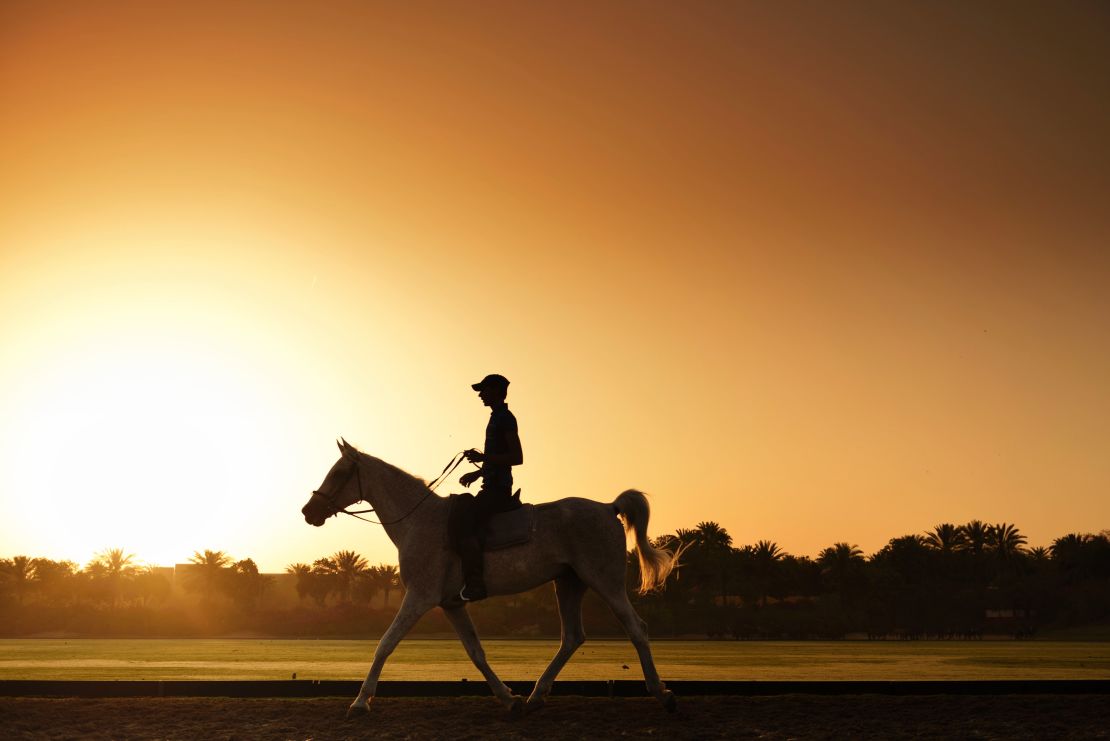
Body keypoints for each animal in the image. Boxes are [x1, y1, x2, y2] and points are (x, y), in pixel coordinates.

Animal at [299, 439, 674, 718]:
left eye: (339, 473)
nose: (308, 512)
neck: (418, 520)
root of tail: (608, 507)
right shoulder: (451, 605)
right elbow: (476, 652)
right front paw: (507, 697)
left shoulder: (419, 597)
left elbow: (385, 644)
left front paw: (360, 701)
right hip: (568, 583)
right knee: (572, 637)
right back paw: (535, 696)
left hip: (605, 582)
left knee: (636, 629)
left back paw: (661, 692)